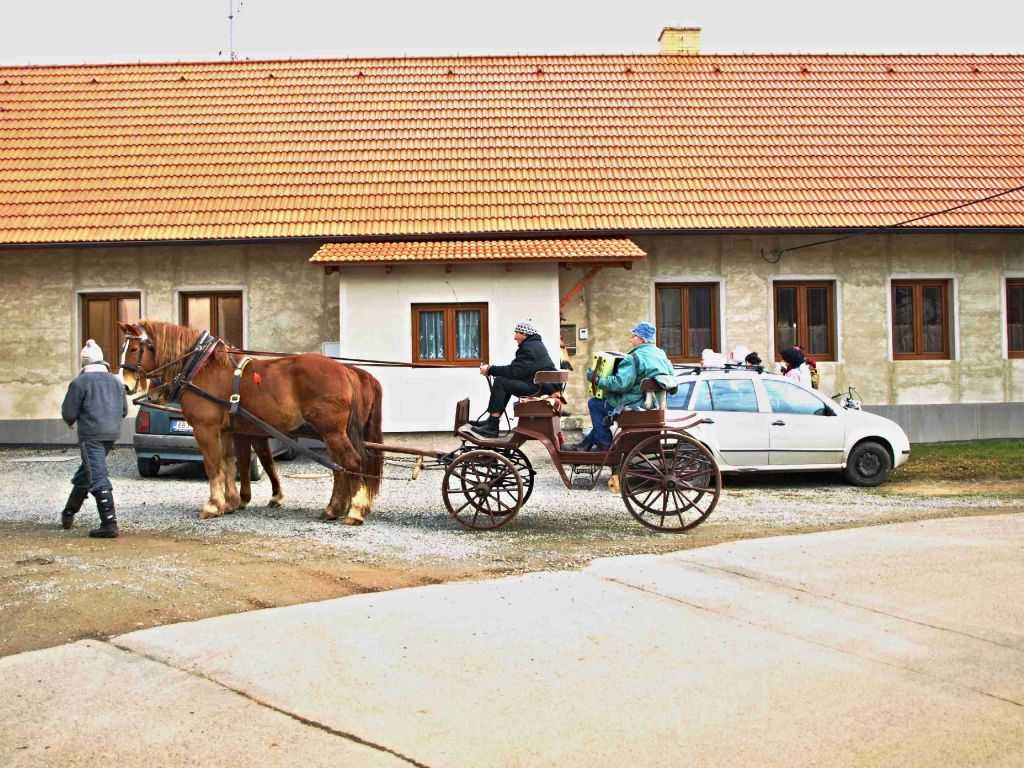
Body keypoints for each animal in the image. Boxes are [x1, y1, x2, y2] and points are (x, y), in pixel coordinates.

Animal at [118, 320, 384, 525]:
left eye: (133, 348)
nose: (126, 386)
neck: (200, 366)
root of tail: (345, 370)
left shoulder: (206, 429)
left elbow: (214, 465)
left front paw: (213, 505)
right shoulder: (227, 431)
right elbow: (228, 463)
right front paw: (231, 502)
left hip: (332, 432)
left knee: (351, 462)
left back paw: (355, 510)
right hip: (332, 434)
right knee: (340, 468)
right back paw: (333, 508)